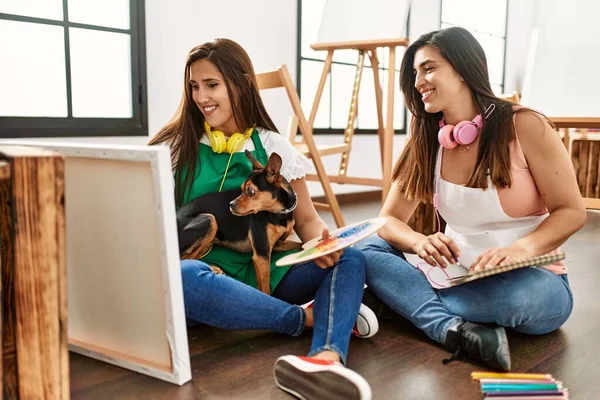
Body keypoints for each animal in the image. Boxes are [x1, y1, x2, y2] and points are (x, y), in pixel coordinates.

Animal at [176, 150, 302, 294]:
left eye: (250, 191)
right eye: (241, 189)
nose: (230, 204)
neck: (279, 214)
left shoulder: (276, 245)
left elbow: (301, 244)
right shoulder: (261, 255)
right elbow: (265, 289)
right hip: (209, 220)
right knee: (183, 260)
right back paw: (213, 268)